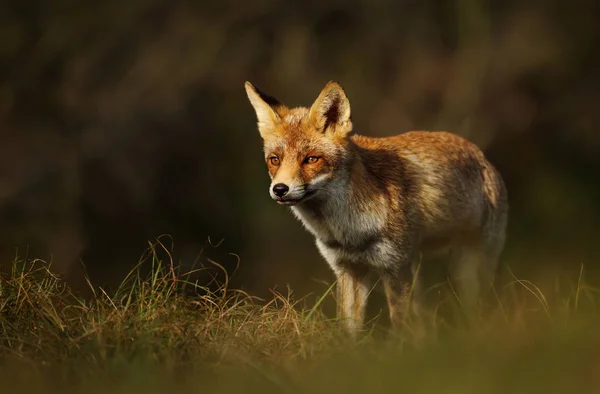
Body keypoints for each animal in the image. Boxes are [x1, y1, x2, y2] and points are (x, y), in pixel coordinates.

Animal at [244, 81, 506, 338]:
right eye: (275, 160)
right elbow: (349, 330)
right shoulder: (348, 269)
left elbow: (400, 327)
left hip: (470, 269)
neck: (348, 230)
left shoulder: (395, 268)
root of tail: (481, 155)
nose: (280, 189)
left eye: (311, 159)